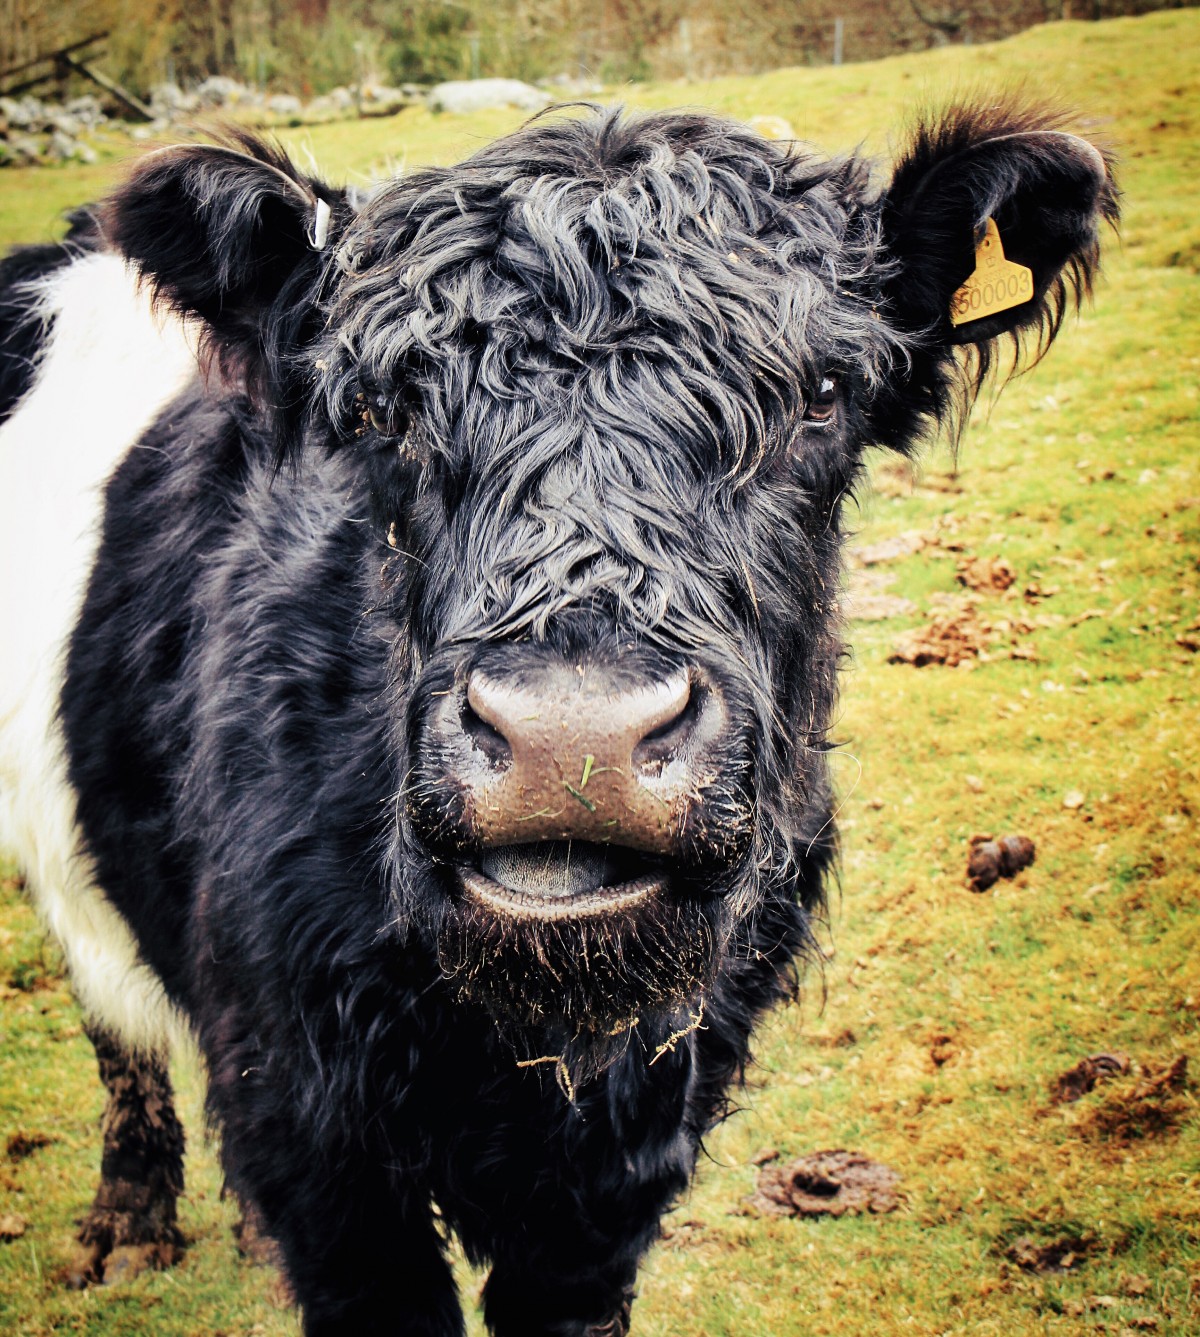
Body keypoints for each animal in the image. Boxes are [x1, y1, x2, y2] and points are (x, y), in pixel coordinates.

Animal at [0, 102, 1116, 1334]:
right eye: (377, 410)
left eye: (824, 394)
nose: (571, 743)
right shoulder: (312, 1127)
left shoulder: (625, 1159)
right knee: (115, 1024)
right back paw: (125, 1225)